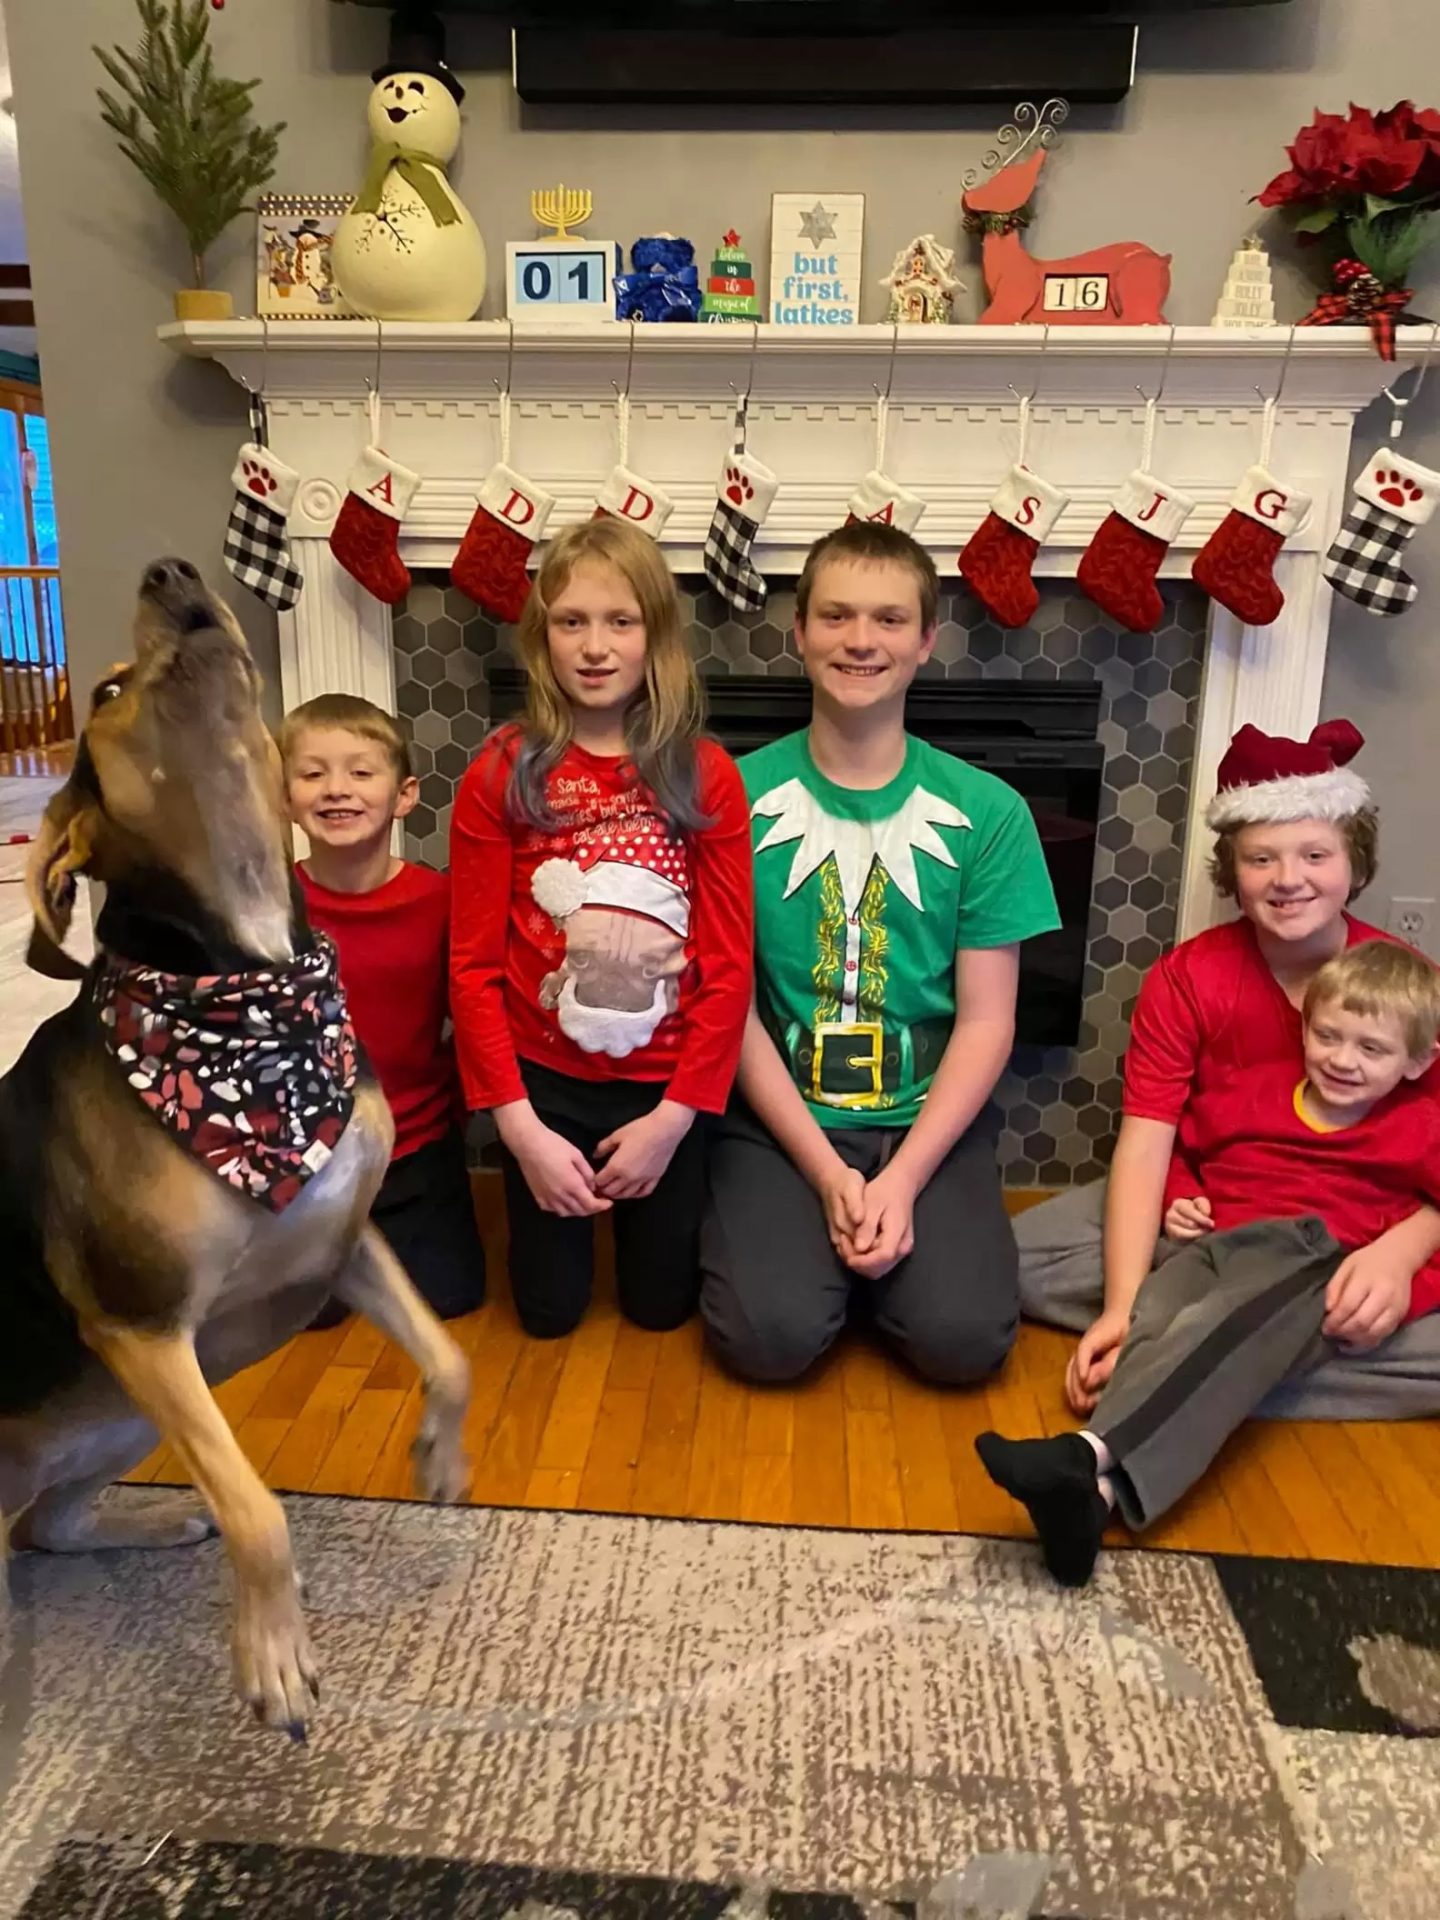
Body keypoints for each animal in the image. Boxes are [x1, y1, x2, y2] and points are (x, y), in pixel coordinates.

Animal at [2, 556, 470, 1743]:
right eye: (107, 690)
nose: (171, 571)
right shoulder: (141, 1326)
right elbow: (260, 1507)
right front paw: (275, 1660)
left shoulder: (343, 1238)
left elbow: (451, 1355)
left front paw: (440, 1460)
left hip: (109, 1423)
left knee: (41, 1527)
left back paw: (158, 1526)